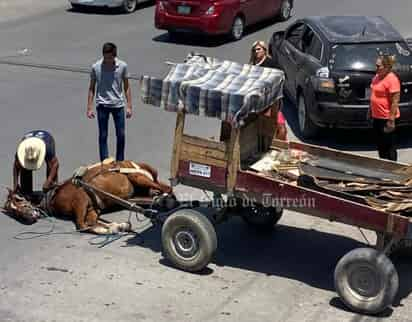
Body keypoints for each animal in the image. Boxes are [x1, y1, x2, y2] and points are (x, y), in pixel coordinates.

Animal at [2, 160, 172, 234]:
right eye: (11, 212)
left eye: (18, 199)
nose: (29, 218)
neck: (53, 195)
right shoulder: (92, 209)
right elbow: (93, 223)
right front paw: (118, 226)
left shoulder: (81, 201)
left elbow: (82, 226)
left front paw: (115, 228)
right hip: (135, 196)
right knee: (153, 197)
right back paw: (160, 201)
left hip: (137, 177)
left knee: (167, 189)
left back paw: (168, 201)